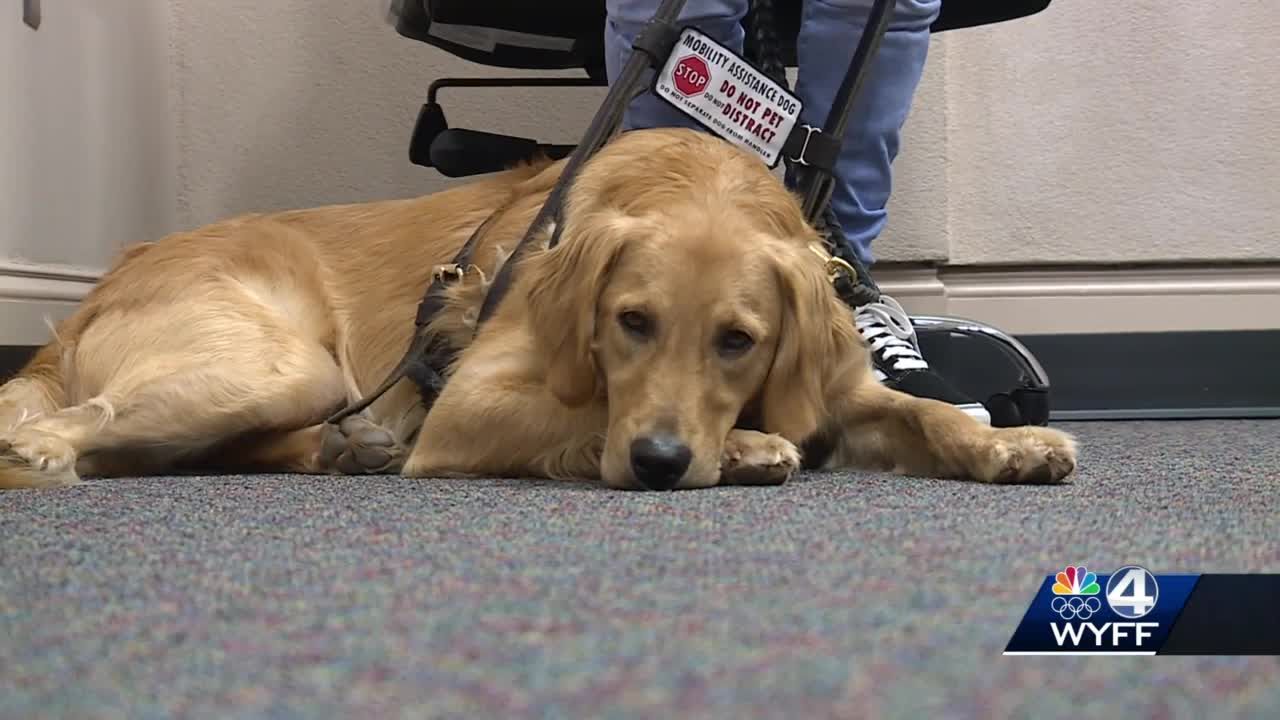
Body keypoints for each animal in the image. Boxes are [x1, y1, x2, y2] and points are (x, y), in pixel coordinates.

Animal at [0, 127, 1080, 486]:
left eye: (739, 341)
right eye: (629, 322)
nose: (660, 464)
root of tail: (101, 288)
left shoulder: (834, 385)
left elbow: (927, 413)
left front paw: (1010, 444)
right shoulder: (470, 403)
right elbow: (590, 412)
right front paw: (742, 446)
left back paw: (350, 447)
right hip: (279, 361)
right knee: (76, 431)